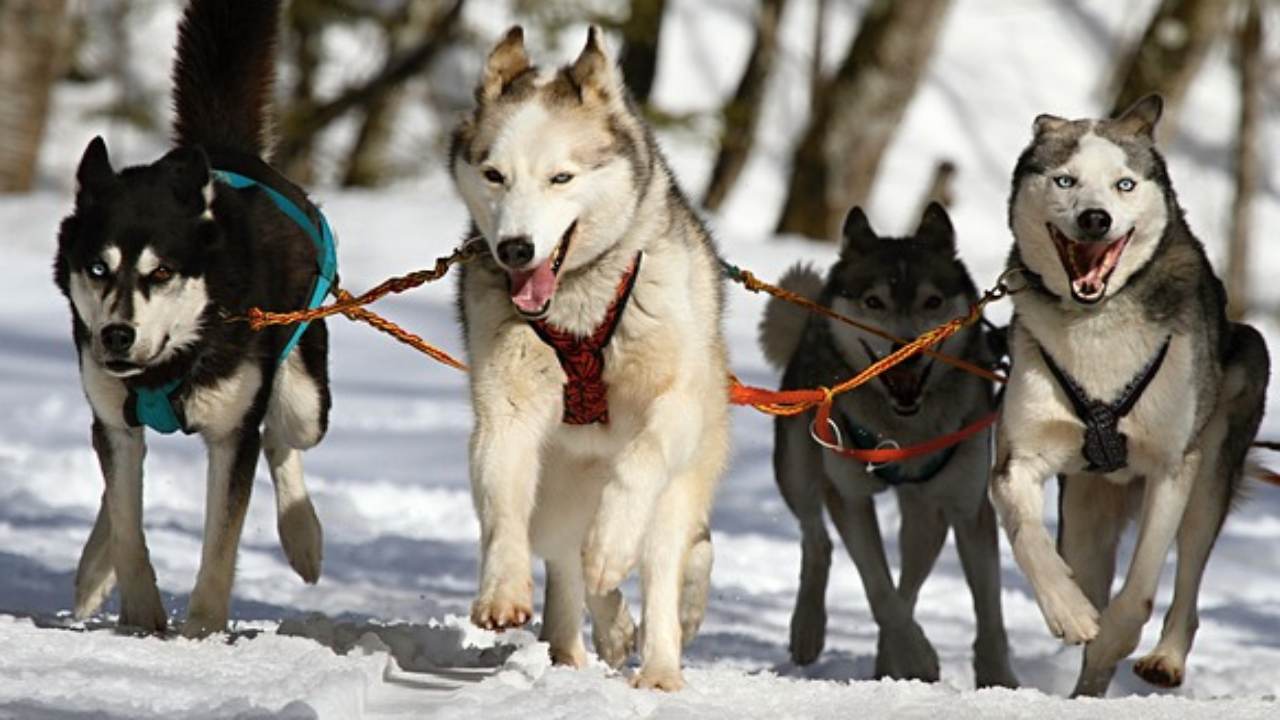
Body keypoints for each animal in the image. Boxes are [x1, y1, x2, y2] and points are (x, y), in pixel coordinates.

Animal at [51, 0, 330, 632]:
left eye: (161, 272)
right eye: (98, 269)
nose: (117, 335)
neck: (171, 364)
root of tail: (225, 152)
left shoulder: (230, 436)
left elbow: (220, 546)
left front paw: (200, 631)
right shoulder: (116, 420)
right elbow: (128, 524)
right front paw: (140, 616)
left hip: (304, 396)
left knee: (281, 436)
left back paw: (302, 536)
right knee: (114, 488)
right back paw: (93, 569)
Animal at [450, 26, 732, 691]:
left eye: (561, 178)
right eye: (494, 174)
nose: (515, 248)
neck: (578, 307)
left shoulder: (674, 405)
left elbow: (640, 464)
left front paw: (611, 545)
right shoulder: (505, 412)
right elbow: (502, 505)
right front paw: (502, 590)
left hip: (681, 482)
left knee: (663, 561)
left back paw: (658, 666)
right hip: (557, 491)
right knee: (565, 561)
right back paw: (585, 641)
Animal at [757, 202, 1018, 681]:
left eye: (932, 301)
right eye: (873, 301)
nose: (906, 350)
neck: (903, 429)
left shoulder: (967, 506)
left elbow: (988, 612)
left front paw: (998, 679)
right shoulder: (849, 496)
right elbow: (879, 589)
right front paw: (917, 656)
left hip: (926, 514)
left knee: (911, 579)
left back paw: (886, 658)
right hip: (797, 469)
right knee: (817, 540)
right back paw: (809, 629)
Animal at [993, 92, 1264, 691]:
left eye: (1124, 184)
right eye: (1065, 180)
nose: (1096, 219)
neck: (1097, 324)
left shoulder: (1171, 465)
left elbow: (1139, 589)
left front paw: (1115, 635)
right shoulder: (1018, 459)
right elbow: (1029, 539)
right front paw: (1069, 611)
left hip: (1212, 469)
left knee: (1187, 580)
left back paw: (1164, 658)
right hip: (1085, 513)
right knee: (1085, 567)